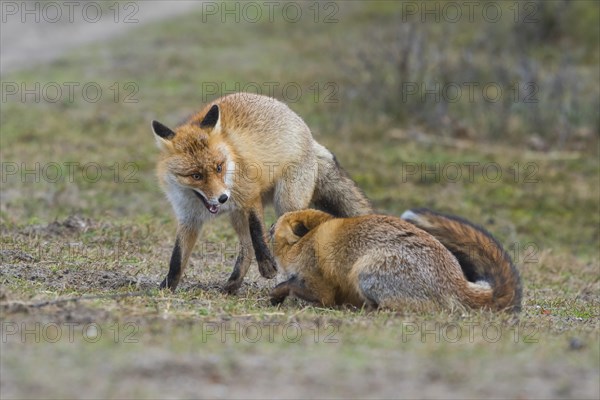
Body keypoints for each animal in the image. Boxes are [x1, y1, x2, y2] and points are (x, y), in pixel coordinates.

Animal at [152, 92, 372, 292]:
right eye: (196, 175)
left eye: (219, 167)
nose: (223, 198)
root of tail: (307, 133)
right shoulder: (188, 218)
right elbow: (177, 258)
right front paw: (166, 288)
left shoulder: (250, 195)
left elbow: (257, 230)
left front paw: (267, 266)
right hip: (236, 215)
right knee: (247, 248)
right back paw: (232, 286)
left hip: (286, 201)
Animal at [270, 208, 524, 314]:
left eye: (274, 227)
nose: (268, 226)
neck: (310, 240)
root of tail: (457, 283)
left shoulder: (321, 287)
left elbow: (292, 286)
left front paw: (275, 295)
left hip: (365, 271)